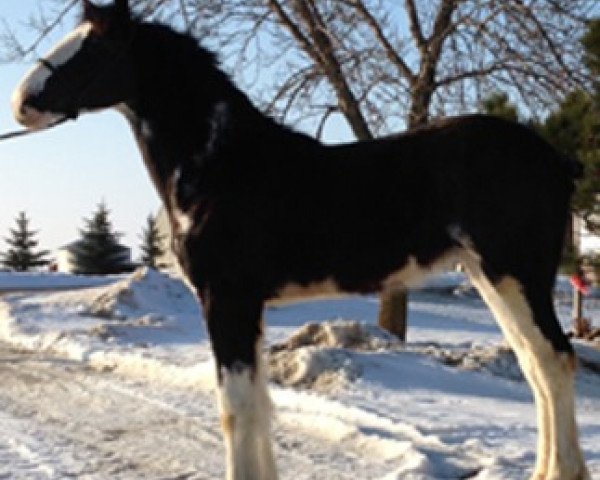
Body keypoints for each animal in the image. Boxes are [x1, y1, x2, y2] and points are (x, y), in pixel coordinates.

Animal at [10, 1, 592, 478]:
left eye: (93, 47)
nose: (21, 102)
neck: (223, 165)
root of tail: (554, 159)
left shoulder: (227, 300)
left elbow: (236, 407)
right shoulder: (249, 307)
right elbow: (259, 404)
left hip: (515, 274)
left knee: (554, 362)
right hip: (492, 277)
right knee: (536, 365)